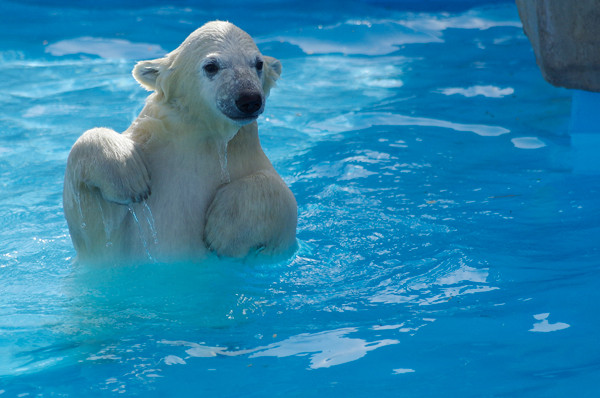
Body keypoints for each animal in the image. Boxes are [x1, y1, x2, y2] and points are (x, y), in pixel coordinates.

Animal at [63, 21, 298, 264]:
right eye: (211, 66)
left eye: (258, 64)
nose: (249, 98)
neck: (204, 138)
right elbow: (88, 223)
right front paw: (129, 178)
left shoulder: (246, 161)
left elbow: (284, 201)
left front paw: (223, 232)